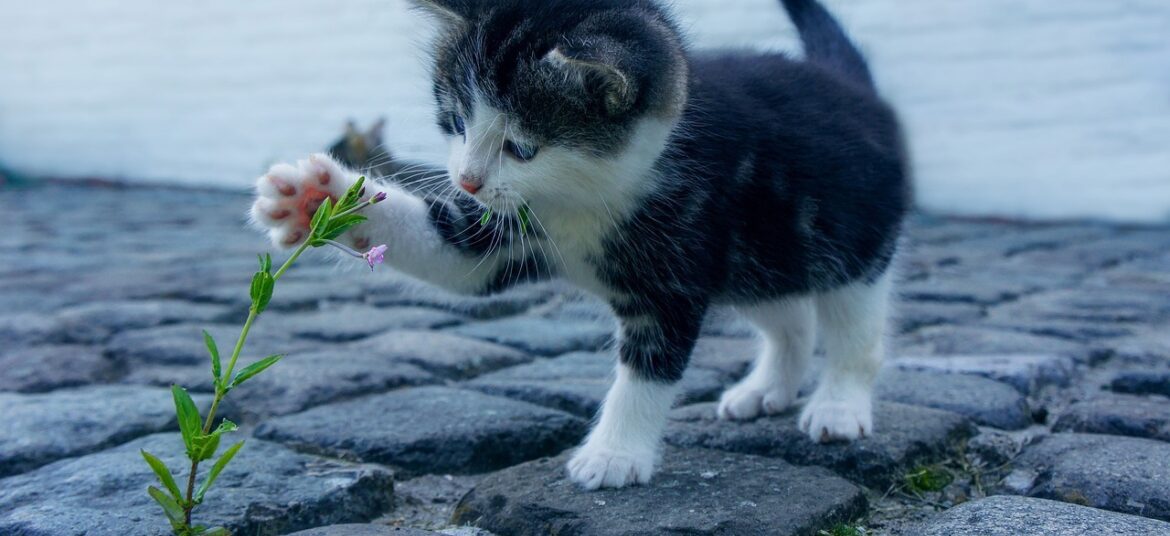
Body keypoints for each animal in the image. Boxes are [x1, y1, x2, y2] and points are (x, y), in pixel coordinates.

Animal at [253, 0, 912, 486]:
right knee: (790, 316)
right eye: (456, 121)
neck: (584, 197)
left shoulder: (674, 268)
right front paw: (317, 197)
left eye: (522, 147)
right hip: (760, 255)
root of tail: (852, 88)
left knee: (854, 327)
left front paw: (614, 456)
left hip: (851, 240)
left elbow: (648, 369)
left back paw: (839, 405)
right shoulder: (507, 229)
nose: (466, 179)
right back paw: (767, 388)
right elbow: (455, 256)